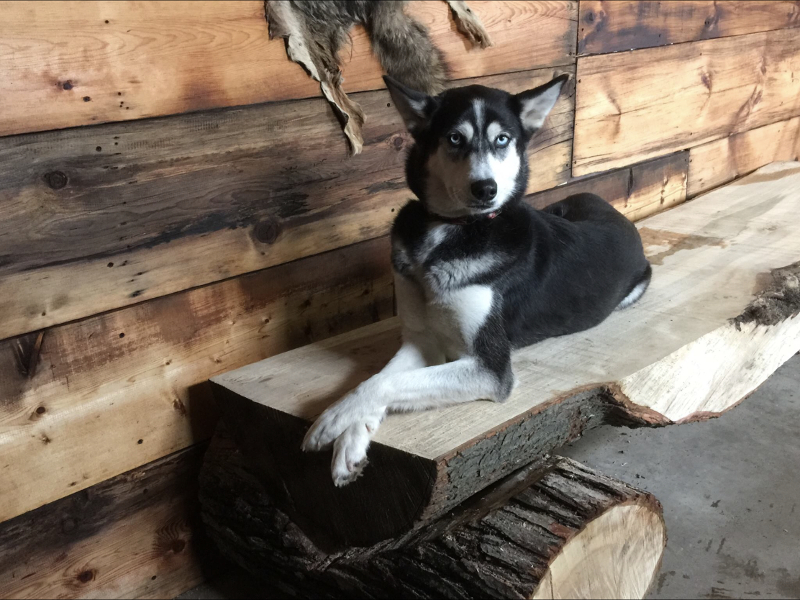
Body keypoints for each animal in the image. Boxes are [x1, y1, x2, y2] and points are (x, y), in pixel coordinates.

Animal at [300, 72, 648, 486]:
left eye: (503, 139)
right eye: (454, 138)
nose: (486, 189)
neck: (453, 229)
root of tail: (614, 210)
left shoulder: (490, 369)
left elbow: (386, 383)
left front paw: (332, 420)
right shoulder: (422, 340)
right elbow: (378, 379)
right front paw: (351, 442)